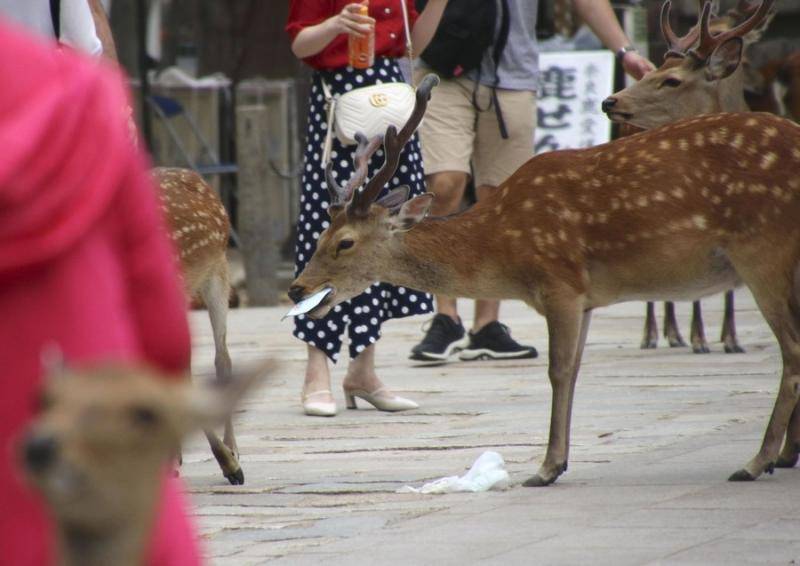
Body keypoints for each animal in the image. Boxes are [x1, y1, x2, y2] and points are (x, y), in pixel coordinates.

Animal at [290, 73, 800, 486]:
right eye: (320, 234)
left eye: (344, 243)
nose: (297, 288)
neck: (504, 253)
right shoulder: (587, 297)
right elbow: (574, 370)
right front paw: (558, 461)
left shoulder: (560, 281)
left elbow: (557, 370)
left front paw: (546, 468)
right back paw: (784, 455)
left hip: (762, 247)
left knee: (791, 349)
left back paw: (757, 461)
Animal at [604, 0, 780, 356]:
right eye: (656, 72)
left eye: (672, 80)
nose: (610, 100)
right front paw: (699, 337)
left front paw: (730, 338)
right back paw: (657, 333)